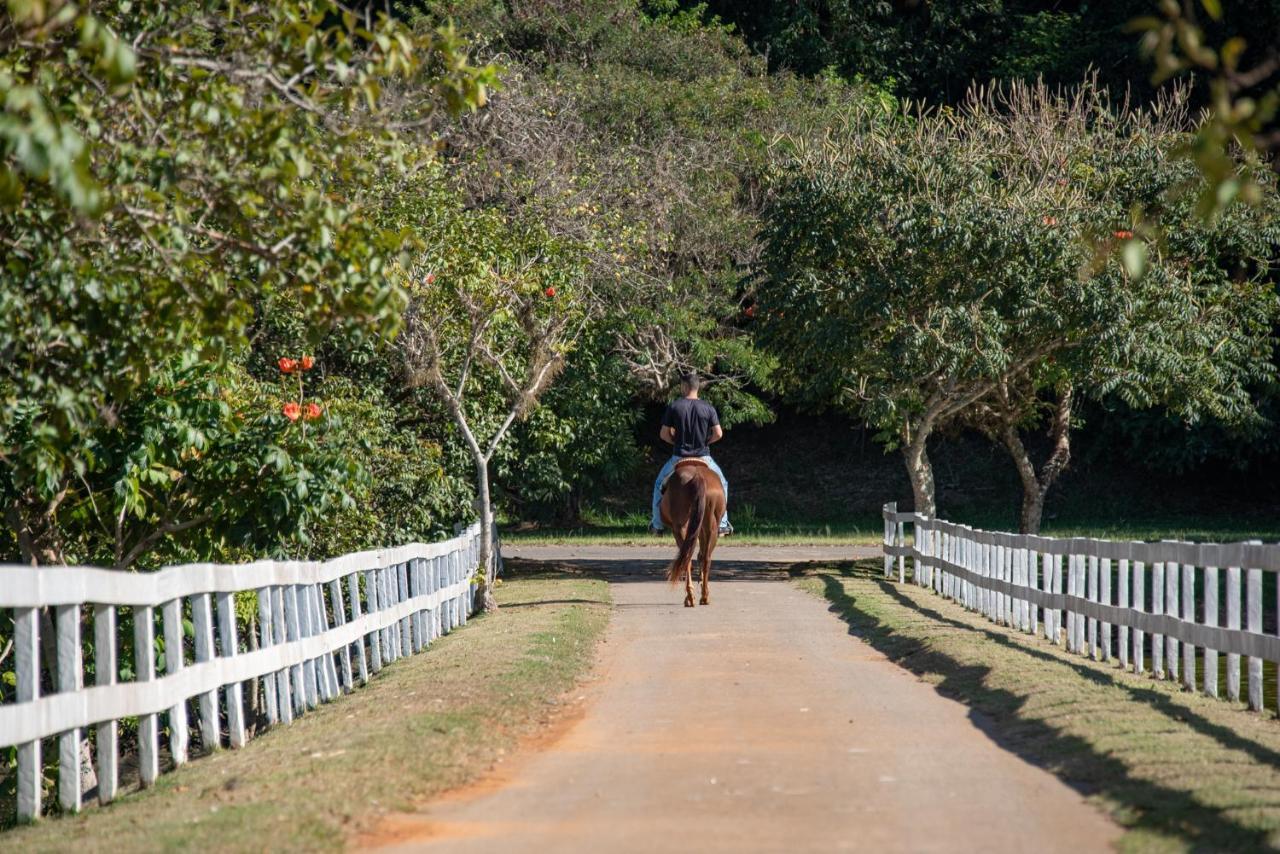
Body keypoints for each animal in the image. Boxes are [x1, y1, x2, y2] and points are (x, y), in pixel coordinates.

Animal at [665, 460, 727, 606]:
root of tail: (698, 477)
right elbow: (701, 555)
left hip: (681, 528)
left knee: (688, 558)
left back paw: (691, 597)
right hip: (710, 528)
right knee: (704, 558)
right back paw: (703, 596)